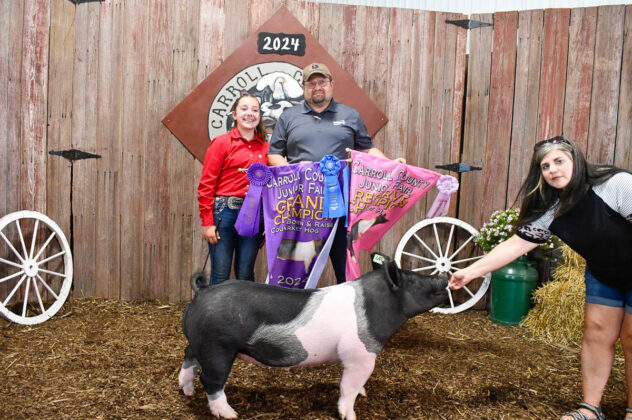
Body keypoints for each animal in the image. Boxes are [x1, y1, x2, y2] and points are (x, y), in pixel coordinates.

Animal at [178, 254, 448, 419]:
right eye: (414, 280)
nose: (442, 276)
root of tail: (203, 291)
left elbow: (355, 386)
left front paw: (363, 393)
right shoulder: (360, 355)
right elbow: (348, 387)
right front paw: (349, 415)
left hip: (199, 343)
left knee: (188, 358)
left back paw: (187, 392)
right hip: (218, 347)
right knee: (211, 380)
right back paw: (230, 414)